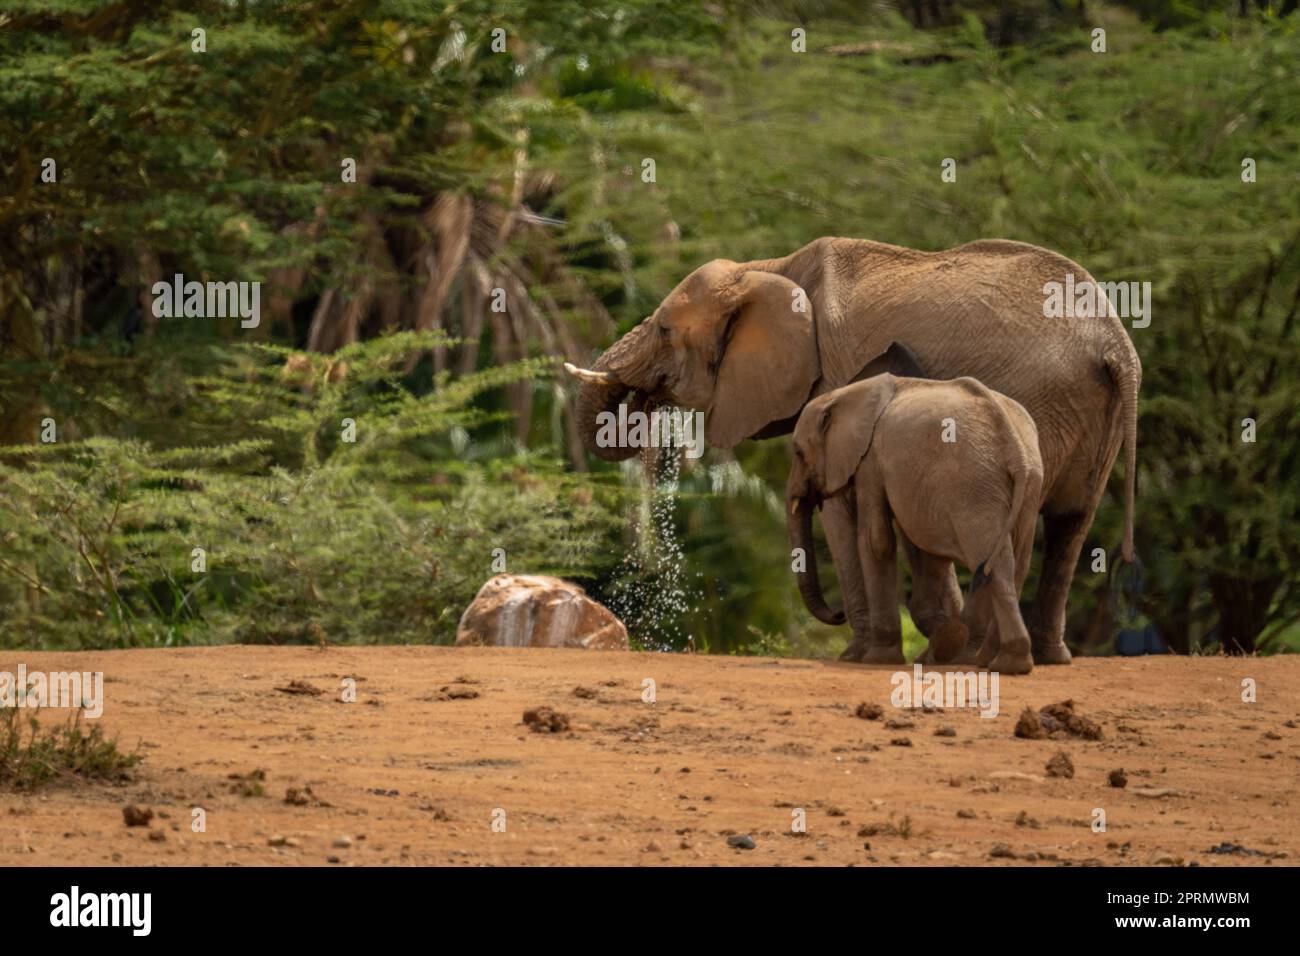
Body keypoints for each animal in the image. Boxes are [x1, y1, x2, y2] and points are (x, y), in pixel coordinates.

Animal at [786, 374, 1044, 675]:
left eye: (798, 452)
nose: (838, 615)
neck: (850, 393)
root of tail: (1016, 449)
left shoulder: (871, 460)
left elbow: (876, 540)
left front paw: (879, 659)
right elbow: (924, 550)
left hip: (976, 491)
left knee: (995, 564)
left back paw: (1001, 663)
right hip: (1027, 489)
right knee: (1016, 565)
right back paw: (986, 660)